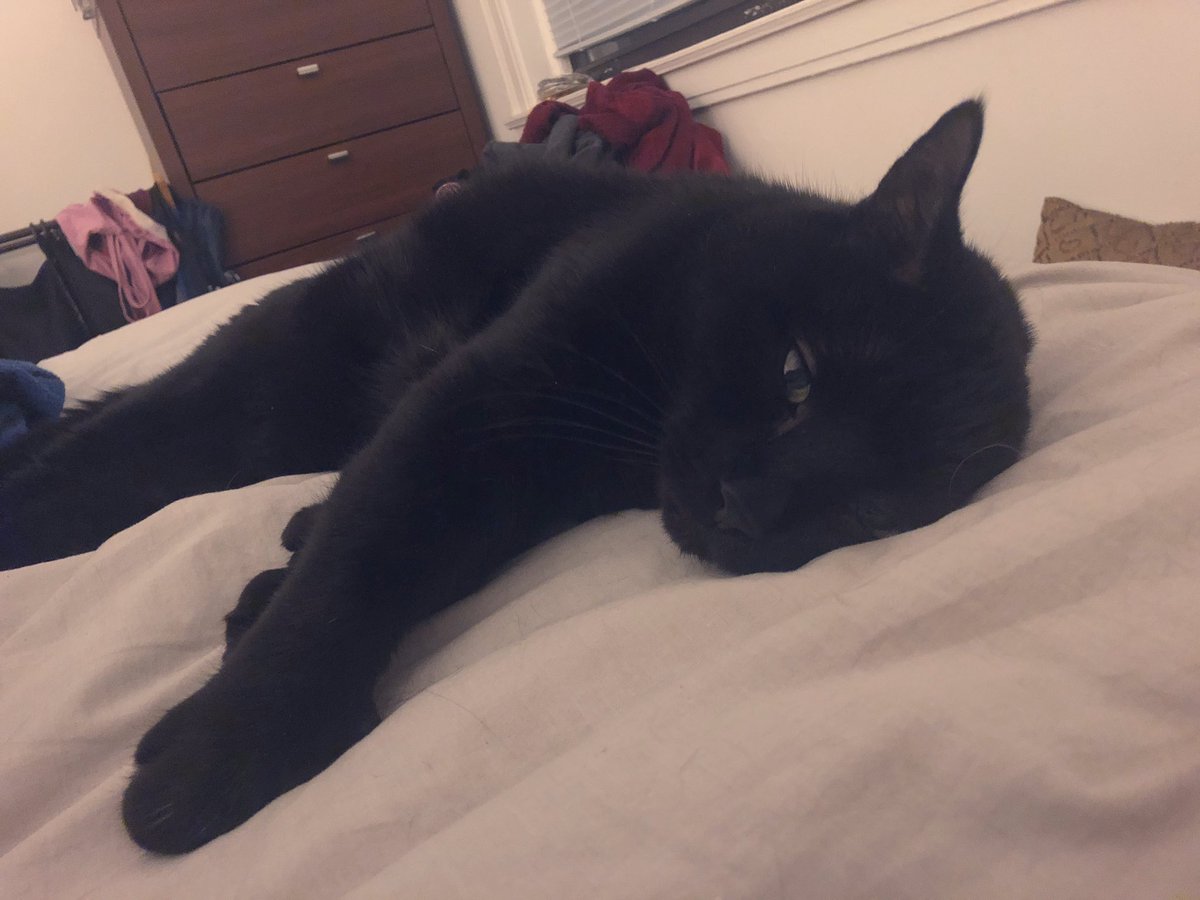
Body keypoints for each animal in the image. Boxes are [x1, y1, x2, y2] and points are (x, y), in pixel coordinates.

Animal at [0, 100, 1032, 853]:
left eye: (871, 508)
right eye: (797, 375)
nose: (749, 506)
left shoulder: (505, 475)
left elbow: (388, 546)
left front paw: (261, 609)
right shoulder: (479, 398)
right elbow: (355, 564)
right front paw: (224, 756)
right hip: (265, 395)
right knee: (99, 454)